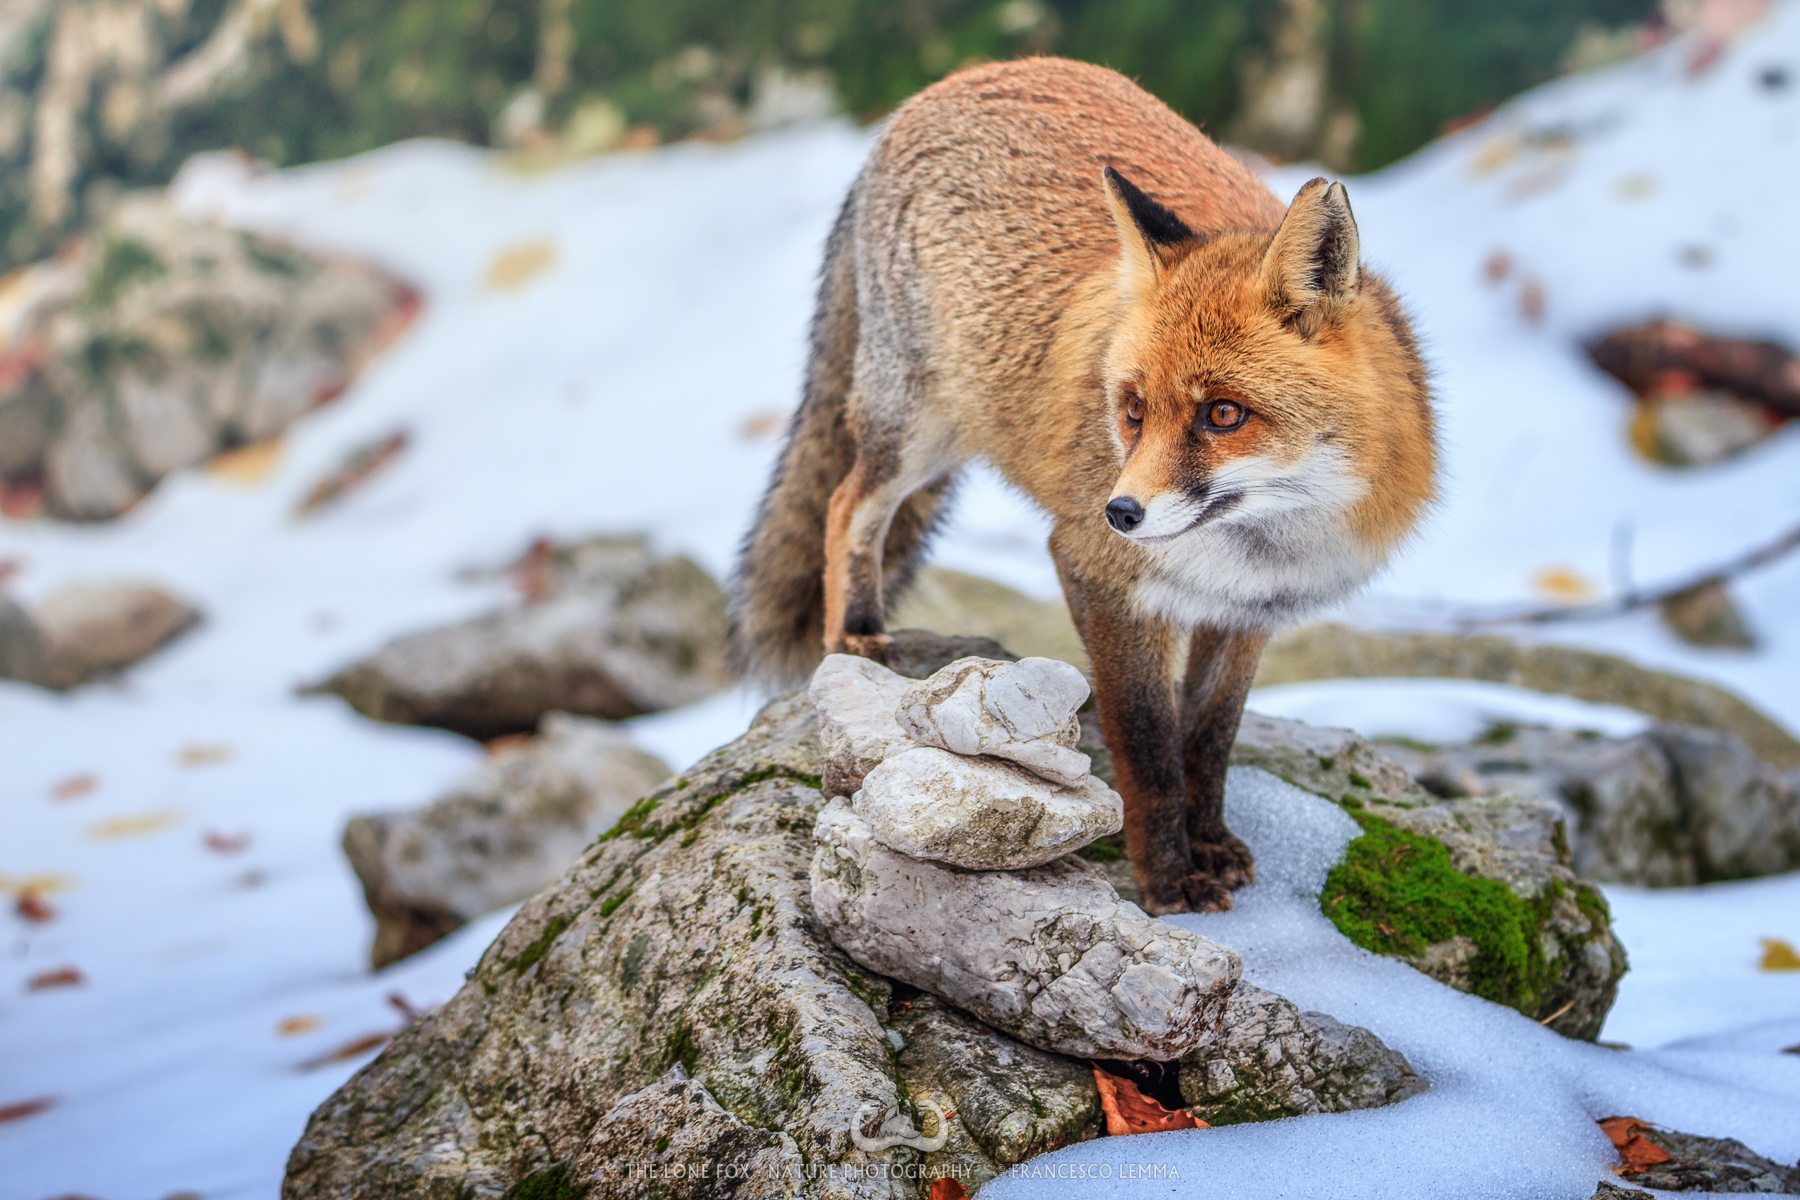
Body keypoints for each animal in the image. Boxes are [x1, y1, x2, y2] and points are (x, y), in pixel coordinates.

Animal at [731, 57, 1437, 914]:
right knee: (845, 505)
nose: (1120, 512)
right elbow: (1150, 750)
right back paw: (855, 631)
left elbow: (1208, 743)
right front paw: (1169, 879)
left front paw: (1210, 843)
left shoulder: (1246, 616)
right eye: (1132, 410)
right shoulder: (1101, 578)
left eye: (1224, 414)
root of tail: (953, 83)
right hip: (921, 431)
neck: (1261, 545)